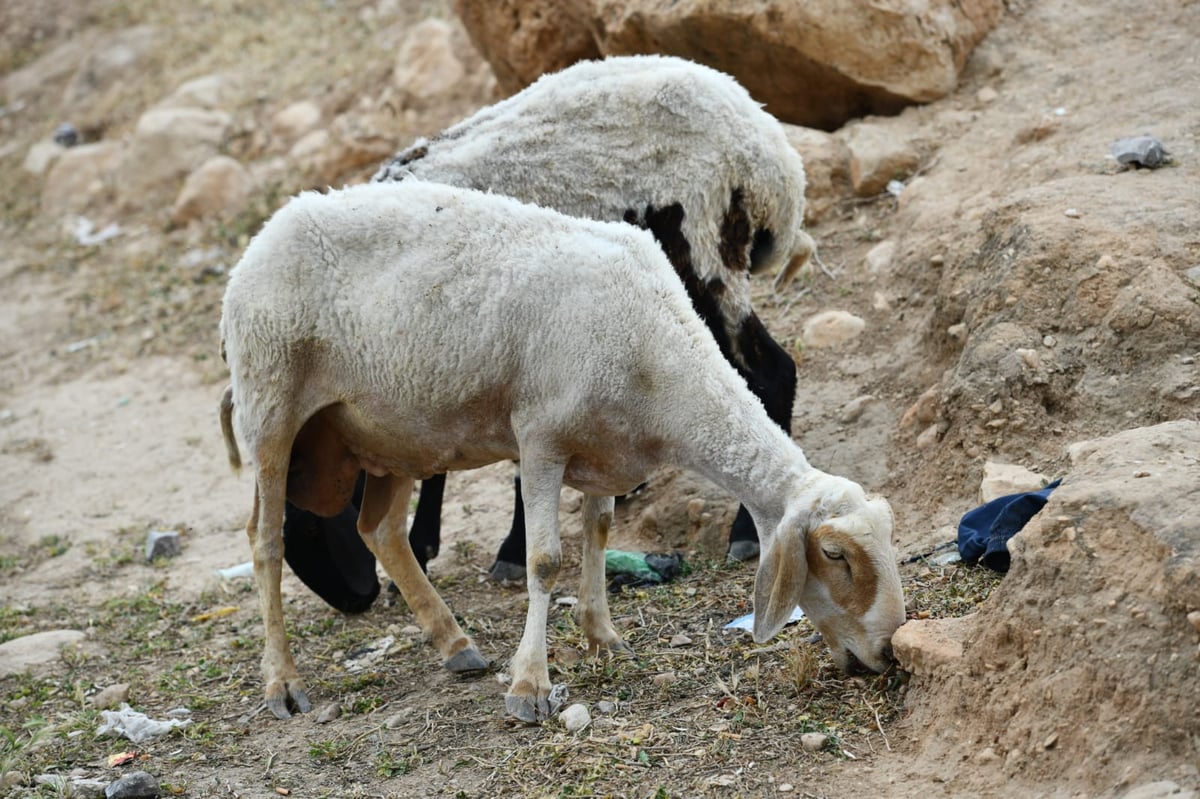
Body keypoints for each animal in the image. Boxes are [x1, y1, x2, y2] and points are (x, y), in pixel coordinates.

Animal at [220, 179, 902, 719]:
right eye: (835, 556)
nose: (889, 652)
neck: (660, 362)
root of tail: (266, 232)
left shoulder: (606, 451)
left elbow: (598, 531)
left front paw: (602, 635)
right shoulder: (540, 439)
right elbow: (546, 560)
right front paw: (530, 686)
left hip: (388, 430)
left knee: (380, 530)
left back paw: (455, 644)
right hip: (270, 400)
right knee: (267, 542)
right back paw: (283, 684)